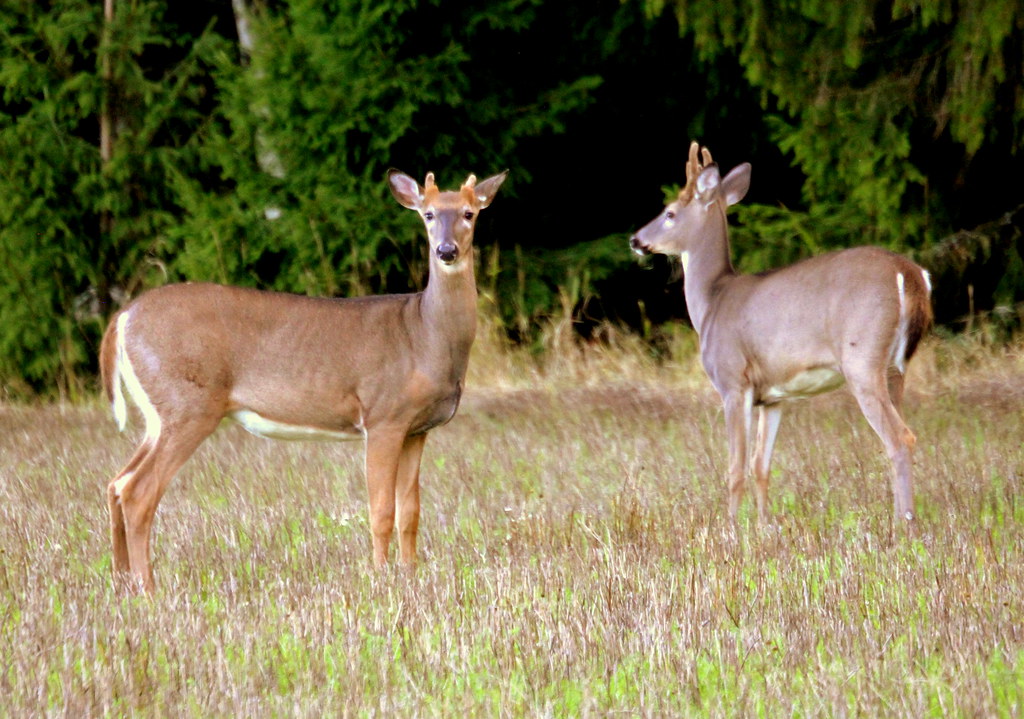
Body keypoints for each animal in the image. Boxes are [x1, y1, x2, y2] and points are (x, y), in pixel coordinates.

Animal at [99, 168, 507, 592]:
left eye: (469, 213)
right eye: (428, 214)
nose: (446, 250)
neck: (424, 335)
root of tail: (122, 317)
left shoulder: (417, 429)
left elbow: (410, 512)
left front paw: (410, 575)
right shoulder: (383, 415)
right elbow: (381, 510)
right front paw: (381, 577)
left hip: (160, 413)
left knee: (116, 484)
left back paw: (121, 582)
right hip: (188, 404)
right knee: (137, 492)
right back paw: (147, 588)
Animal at [629, 142, 932, 526]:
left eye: (669, 212)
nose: (635, 239)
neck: (712, 301)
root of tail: (910, 273)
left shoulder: (733, 381)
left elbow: (736, 468)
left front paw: (730, 528)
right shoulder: (773, 397)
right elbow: (761, 466)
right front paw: (764, 525)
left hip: (862, 358)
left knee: (900, 438)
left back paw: (903, 524)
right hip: (897, 366)